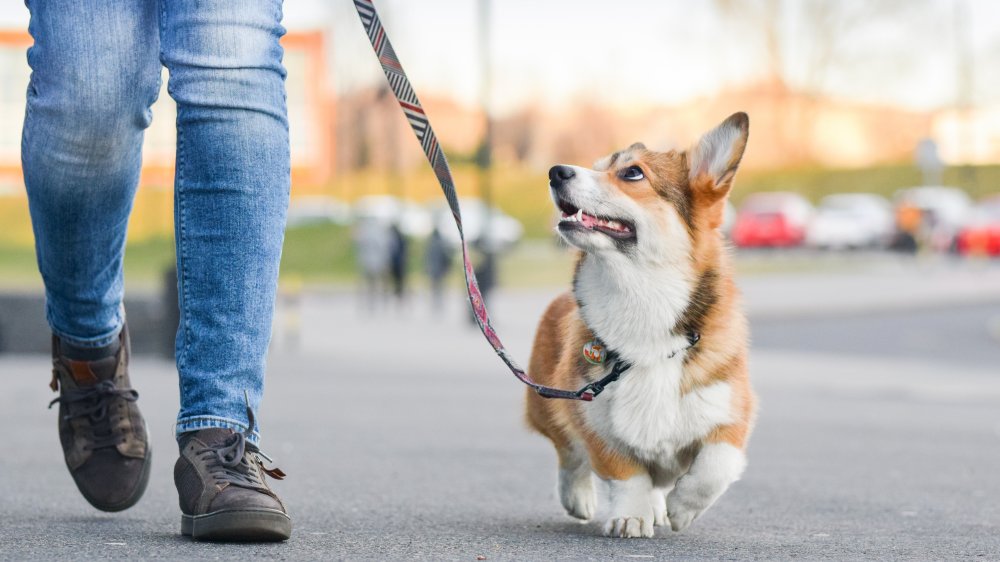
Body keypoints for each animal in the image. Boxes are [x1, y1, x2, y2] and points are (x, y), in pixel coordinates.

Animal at [528, 112, 752, 532]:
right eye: (598, 166)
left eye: (632, 172)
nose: (556, 171)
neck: (642, 298)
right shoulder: (593, 416)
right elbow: (626, 474)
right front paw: (631, 516)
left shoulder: (731, 412)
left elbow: (716, 465)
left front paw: (682, 509)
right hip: (547, 402)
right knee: (569, 454)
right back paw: (579, 498)